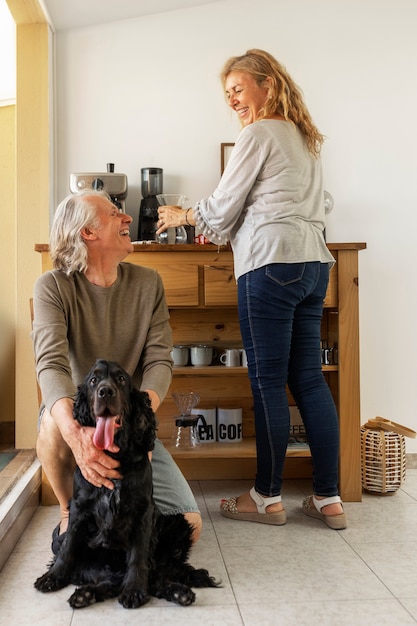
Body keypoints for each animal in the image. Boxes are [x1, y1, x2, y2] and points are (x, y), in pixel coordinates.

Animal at [34, 358, 219, 608]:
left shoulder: (142, 512)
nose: (105, 391)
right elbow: (68, 546)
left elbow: (138, 556)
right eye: (94, 380)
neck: (116, 454)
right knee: (109, 580)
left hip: (178, 525)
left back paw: (178, 592)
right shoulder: (79, 508)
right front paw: (53, 577)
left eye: (121, 379)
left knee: (155, 577)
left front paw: (133, 590)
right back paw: (85, 594)